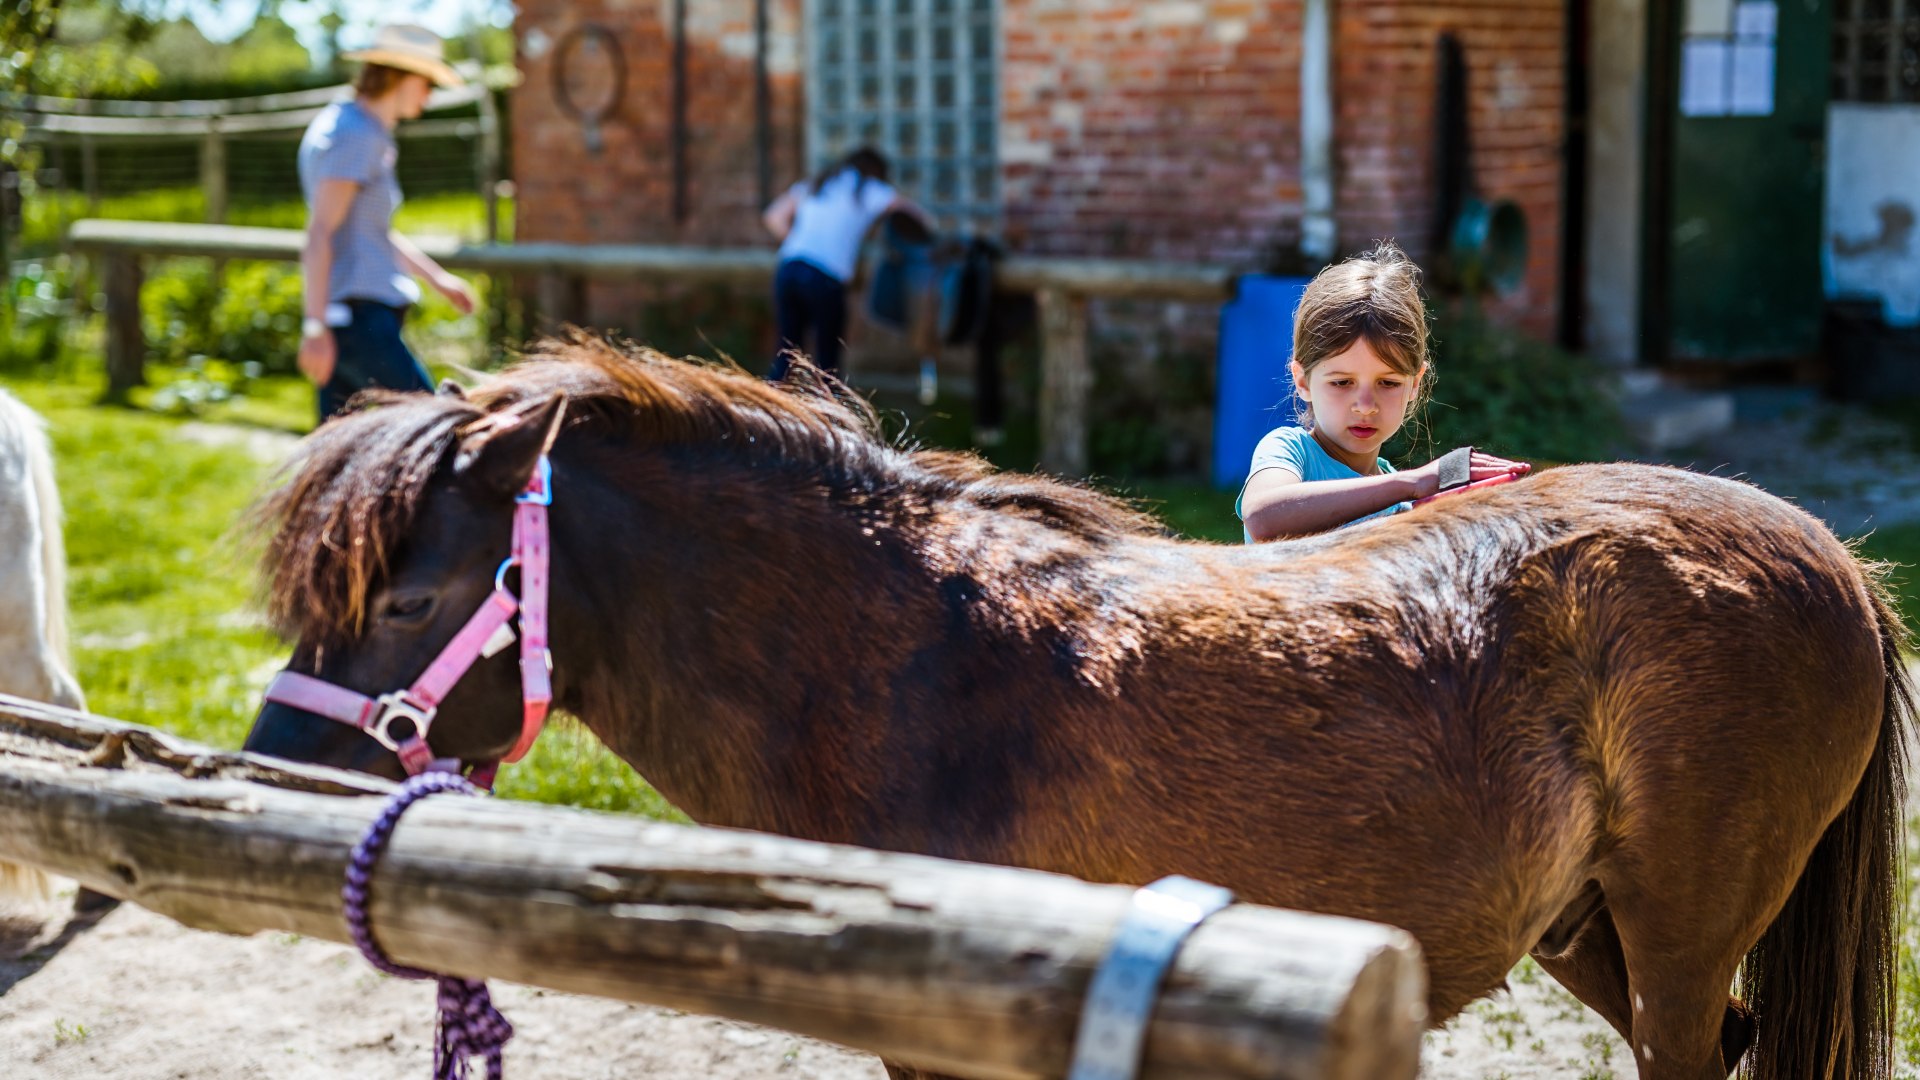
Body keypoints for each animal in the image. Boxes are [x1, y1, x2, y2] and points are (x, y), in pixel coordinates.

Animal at [247, 336, 1912, 1076]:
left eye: (406, 602)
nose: (262, 784)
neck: (904, 663)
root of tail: (1832, 554)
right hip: (1590, 930)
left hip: (1678, 934)